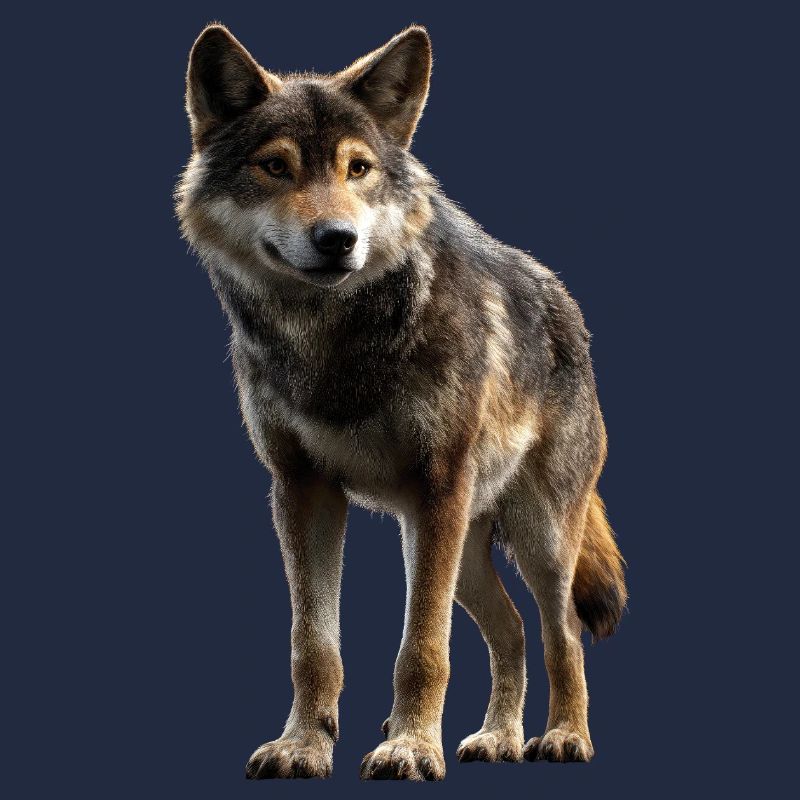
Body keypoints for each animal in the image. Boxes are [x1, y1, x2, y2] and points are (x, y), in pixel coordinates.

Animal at [176, 23, 626, 781]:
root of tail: (567, 305)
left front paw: (410, 747)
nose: (338, 239)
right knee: (511, 633)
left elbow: (422, 649)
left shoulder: (437, 487)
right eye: (276, 168)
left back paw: (564, 737)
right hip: (457, 548)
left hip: (529, 537)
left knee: (560, 632)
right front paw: (304, 745)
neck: (332, 341)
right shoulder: (302, 490)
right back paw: (498, 739)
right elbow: (313, 647)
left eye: (357, 169)